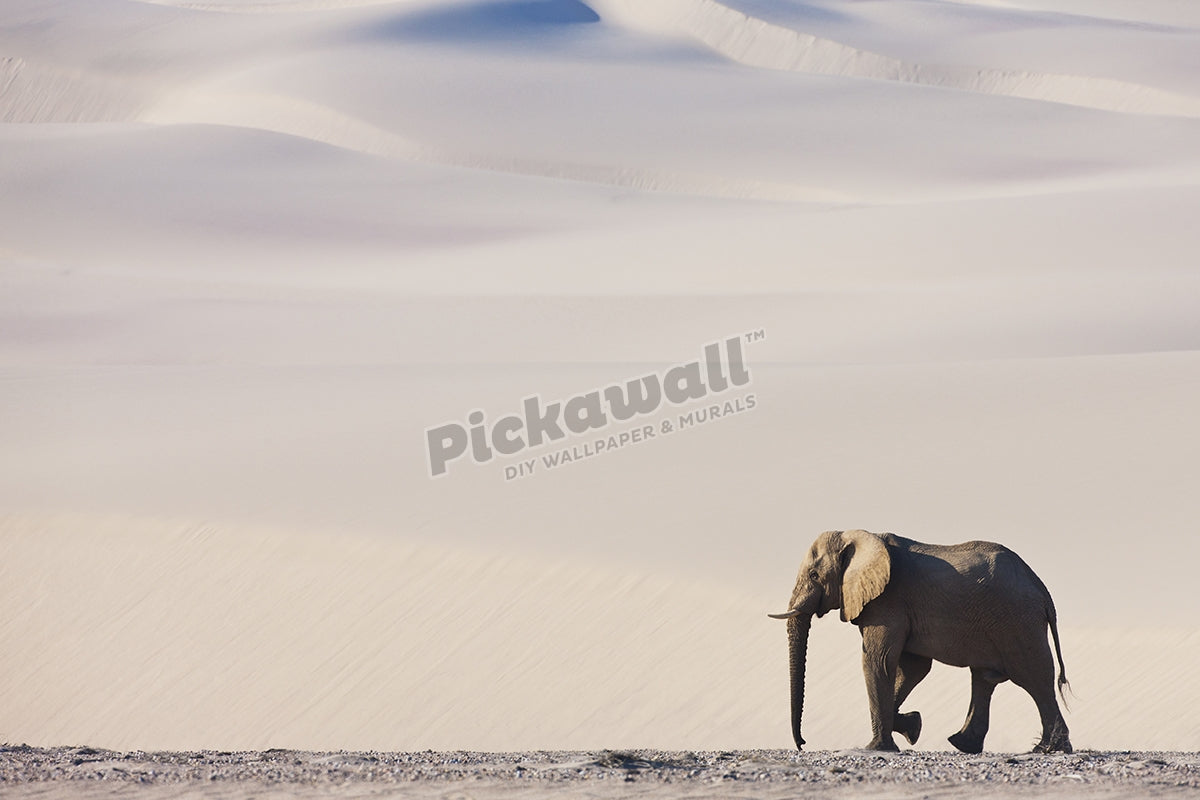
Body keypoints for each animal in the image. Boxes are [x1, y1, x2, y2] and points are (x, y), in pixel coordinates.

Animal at [768, 530, 1071, 754]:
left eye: (814, 575)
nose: (802, 744)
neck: (862, 536)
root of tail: (1044, 593)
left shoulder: (888, 601)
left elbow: (878, 661)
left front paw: (876, 748)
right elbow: (913, 668)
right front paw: (912, 727)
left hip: (1018, 622)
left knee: (1033, 677)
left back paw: (1048, 749)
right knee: (985, 678)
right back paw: (966, 745)